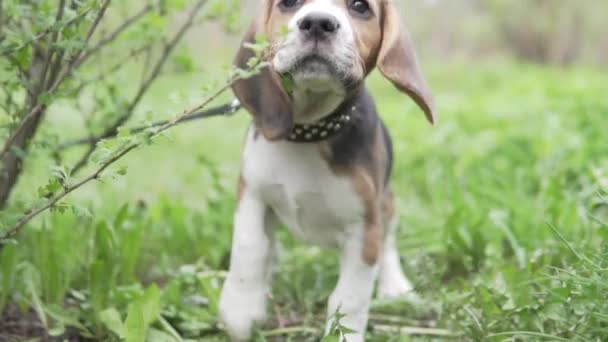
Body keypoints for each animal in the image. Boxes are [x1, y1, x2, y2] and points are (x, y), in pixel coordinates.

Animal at [221, 1, 434, 340]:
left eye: (360, 7)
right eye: (288, 4)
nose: (318, 23)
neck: (309, 132)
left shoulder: (364, 228)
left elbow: (350, 297)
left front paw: (344, 333)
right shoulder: (252, 194)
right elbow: (249, 248)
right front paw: (240, 310)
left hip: (386, 204)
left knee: (388, 243)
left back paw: (395, 286)